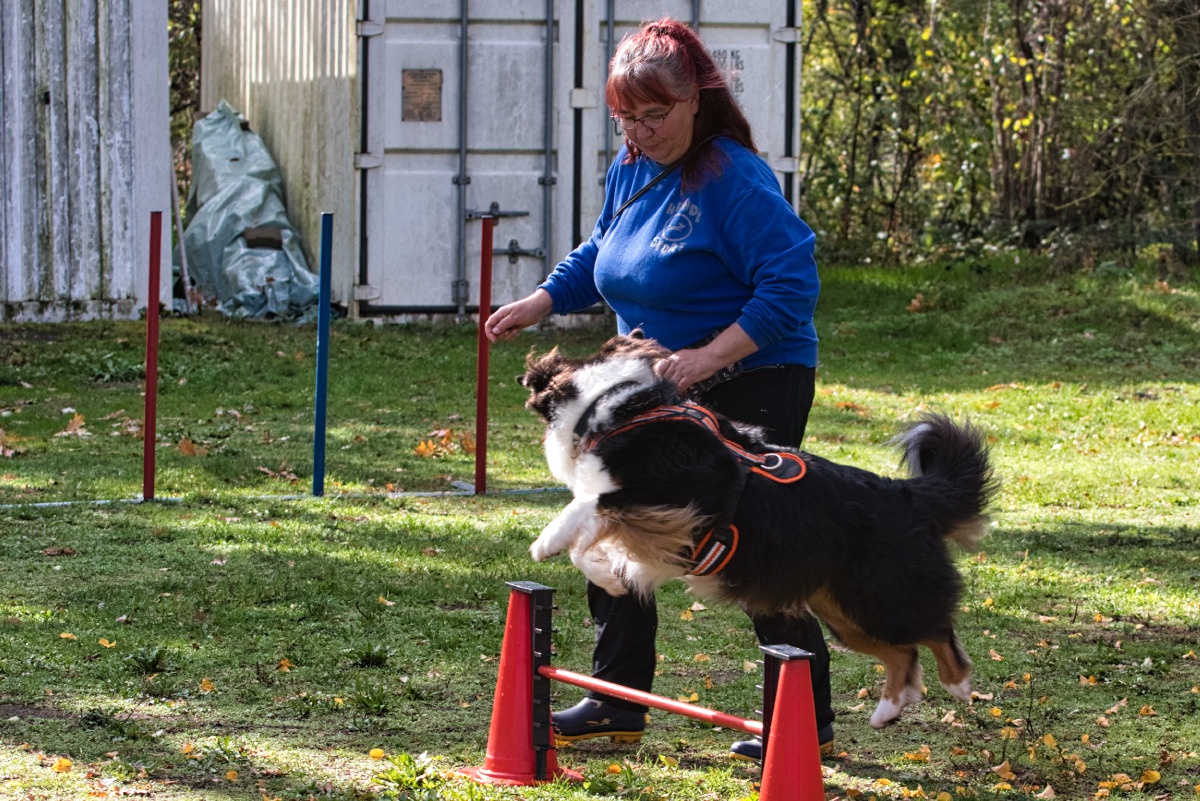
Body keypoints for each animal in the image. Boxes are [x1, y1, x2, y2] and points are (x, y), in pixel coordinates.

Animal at [520, 332, 999, 728]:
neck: (617, 404)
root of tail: (907, 494)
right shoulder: (656, 527)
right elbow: (588, 547)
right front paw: (611, 582)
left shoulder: (672, 501)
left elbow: (588, 504)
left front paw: (546, 542)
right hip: (841, 610)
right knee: (903, 652)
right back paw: (887, 710)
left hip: (880, 596)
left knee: (935, 630)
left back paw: (958, 685)